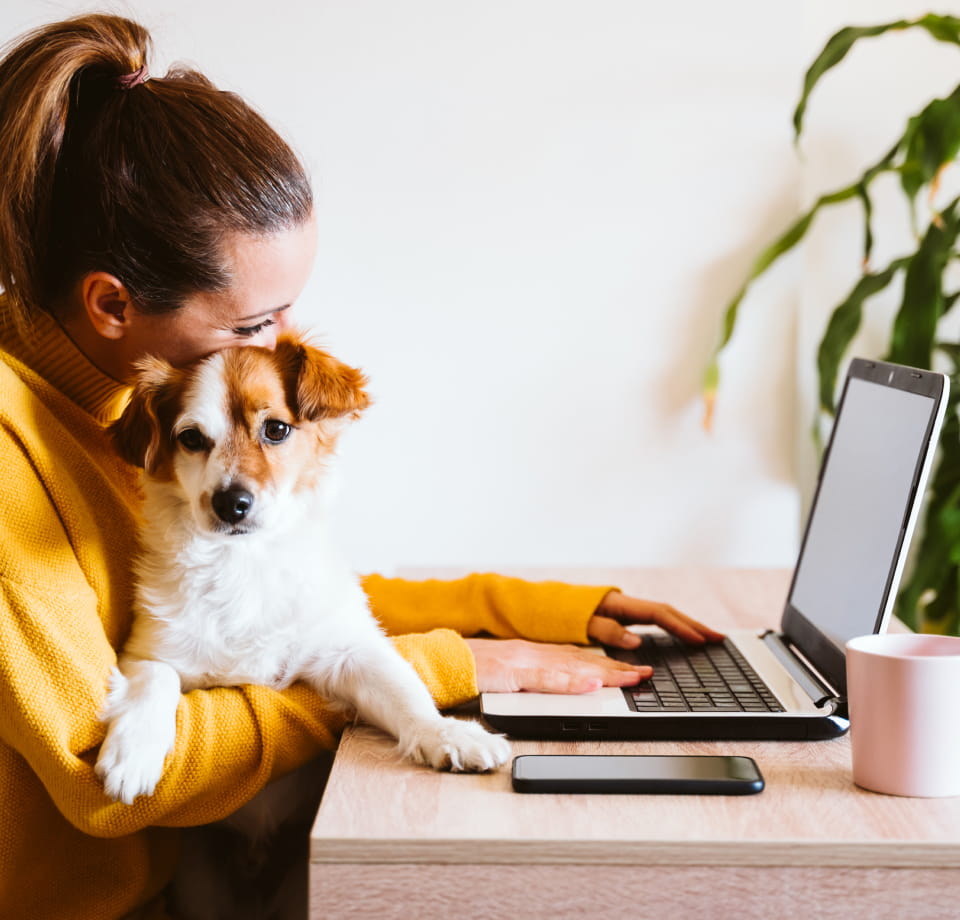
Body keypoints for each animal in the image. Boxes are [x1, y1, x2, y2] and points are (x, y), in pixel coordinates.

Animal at [95, 328, 510, 804]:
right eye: (192, 438)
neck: (244, 563)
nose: (231, 504)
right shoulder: (148, 651)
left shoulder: (348, 651)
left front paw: (447, 733)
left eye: (276, 429)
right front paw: (133, 752)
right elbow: (153, 681)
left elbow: (404, 690)